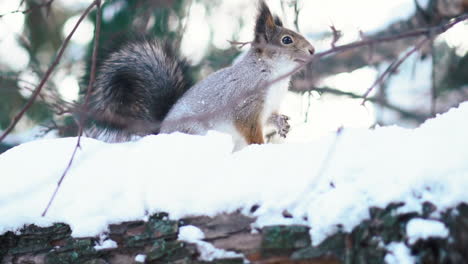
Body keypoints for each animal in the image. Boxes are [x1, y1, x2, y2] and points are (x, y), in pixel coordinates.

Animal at [87, 0, 314, 148]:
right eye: (286, 40)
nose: (312, 50)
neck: (273, 73)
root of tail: (160, 131)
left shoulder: (268, 107)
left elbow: (271, 118)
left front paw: (282, 124)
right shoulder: (245, 103)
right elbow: (248, 128)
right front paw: (260, 146)